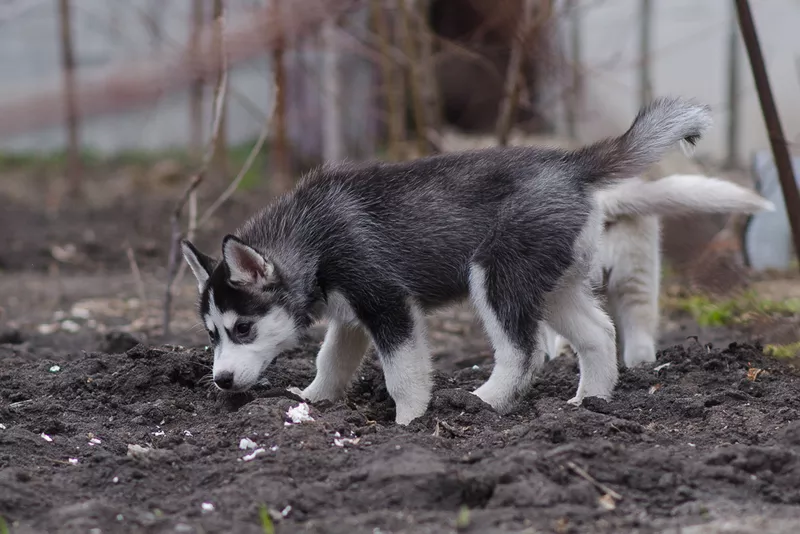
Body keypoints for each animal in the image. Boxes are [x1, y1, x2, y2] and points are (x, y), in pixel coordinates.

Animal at [183, 97, 712, 428]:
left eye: (243, 329)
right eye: (211, 336)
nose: (221, 381)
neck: (312, 239)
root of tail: (570, 164)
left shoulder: (389, 305)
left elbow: (403, 374)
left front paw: (409, 422)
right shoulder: (353, 318)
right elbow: (330, 359)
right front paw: (312, 399)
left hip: (496, 276)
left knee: (524, 352)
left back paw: (486, 402)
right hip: (551, 285)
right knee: (599, 334)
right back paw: (590, 401)